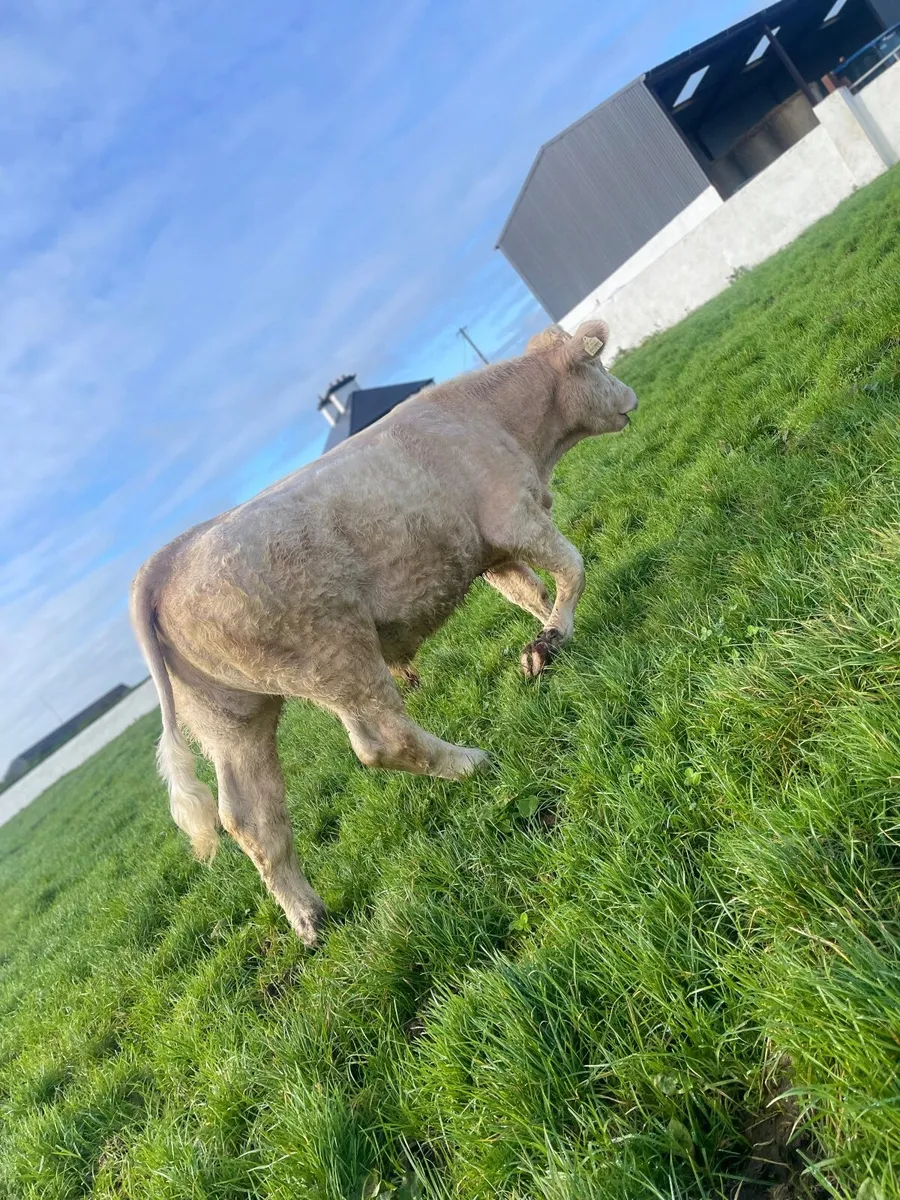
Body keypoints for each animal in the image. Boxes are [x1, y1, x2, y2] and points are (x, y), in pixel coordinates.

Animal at [130, 319, 637, 944]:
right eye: (599, 364)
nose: (630, 395)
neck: (501, 422)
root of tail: (164, 561)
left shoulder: (490, 552)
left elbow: (532, 592)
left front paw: (546, 639)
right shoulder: (515, 518)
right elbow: (573, 567)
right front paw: (548, 643)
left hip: (230, 716)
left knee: (251, 817)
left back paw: (311, 920)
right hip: (336, 650)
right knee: (379, 740)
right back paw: (472, 763)